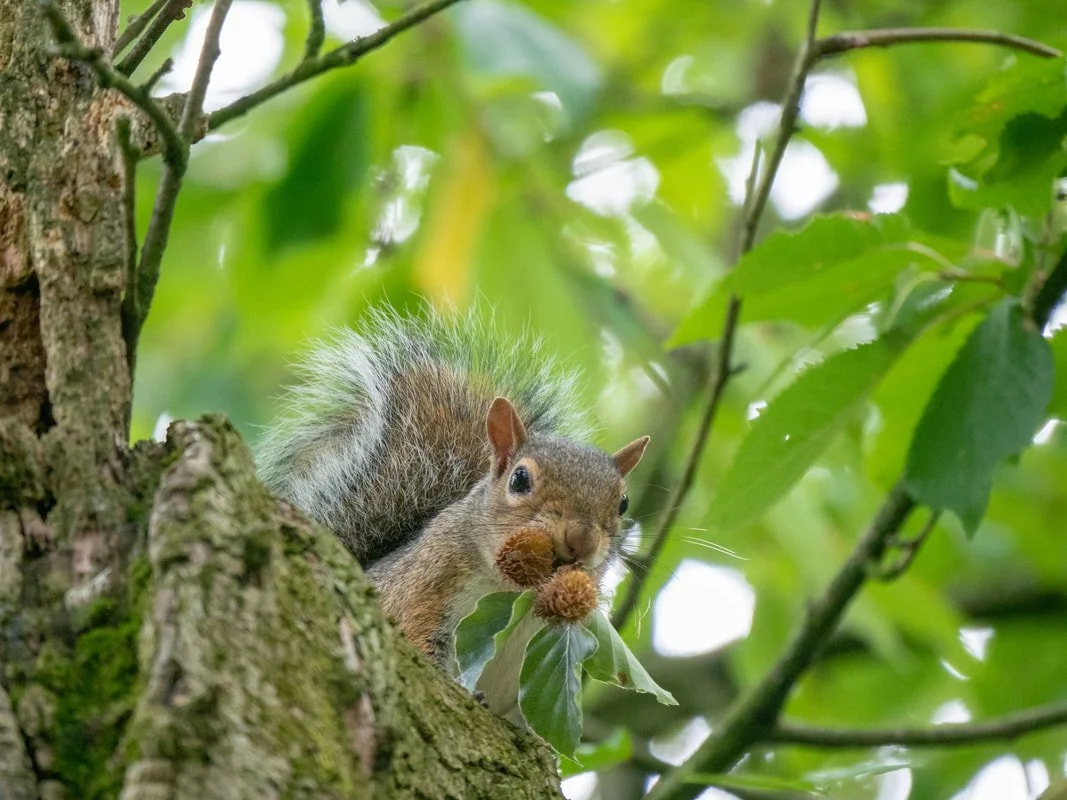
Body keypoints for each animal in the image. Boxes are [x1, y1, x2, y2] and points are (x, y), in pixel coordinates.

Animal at [257, 307, 648, 718]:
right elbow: (420, 636)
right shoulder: (427, 585)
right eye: (519, 479)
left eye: (622, 503)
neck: (516, 593)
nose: (582, 540)